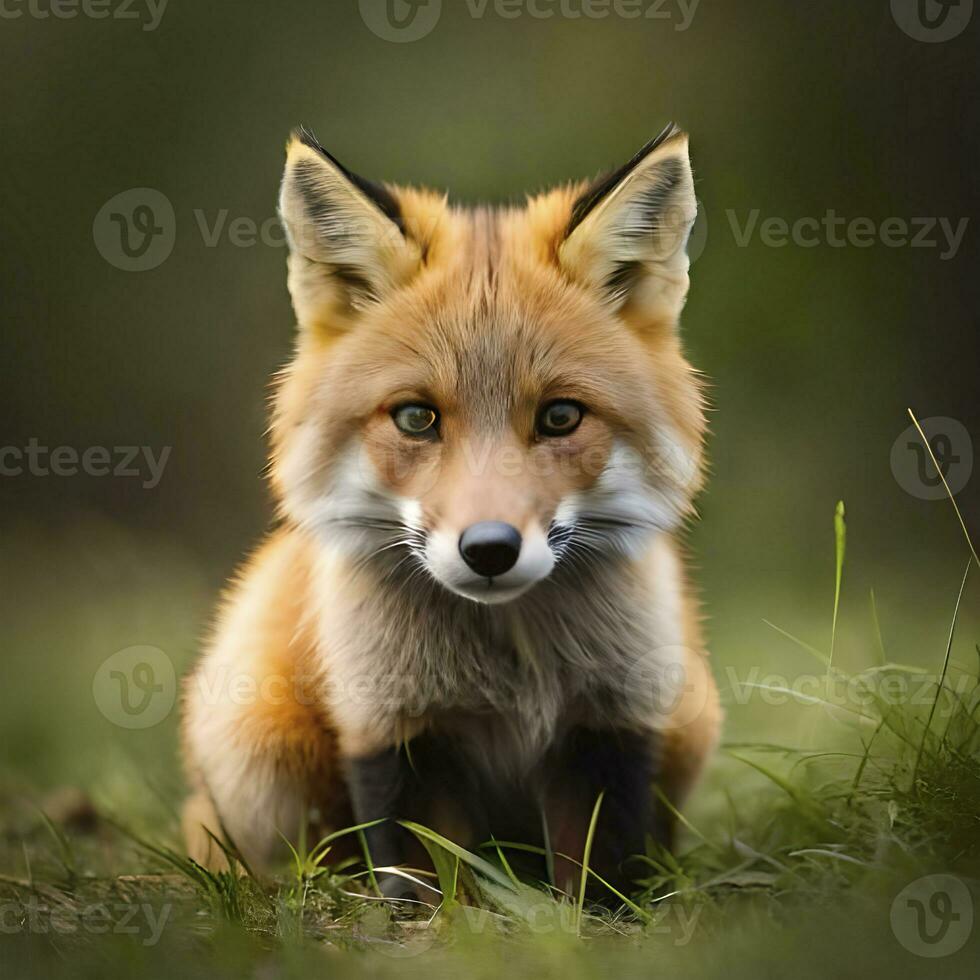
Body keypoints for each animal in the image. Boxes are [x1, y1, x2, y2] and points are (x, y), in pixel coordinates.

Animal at [182, 124, 720, 904]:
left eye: (560, 417)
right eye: (416, 417)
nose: (489, 549)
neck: (510, 667)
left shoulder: (613, 720)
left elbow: (595, 875)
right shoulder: (393, 727)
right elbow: (427, 878)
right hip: (259, 755)